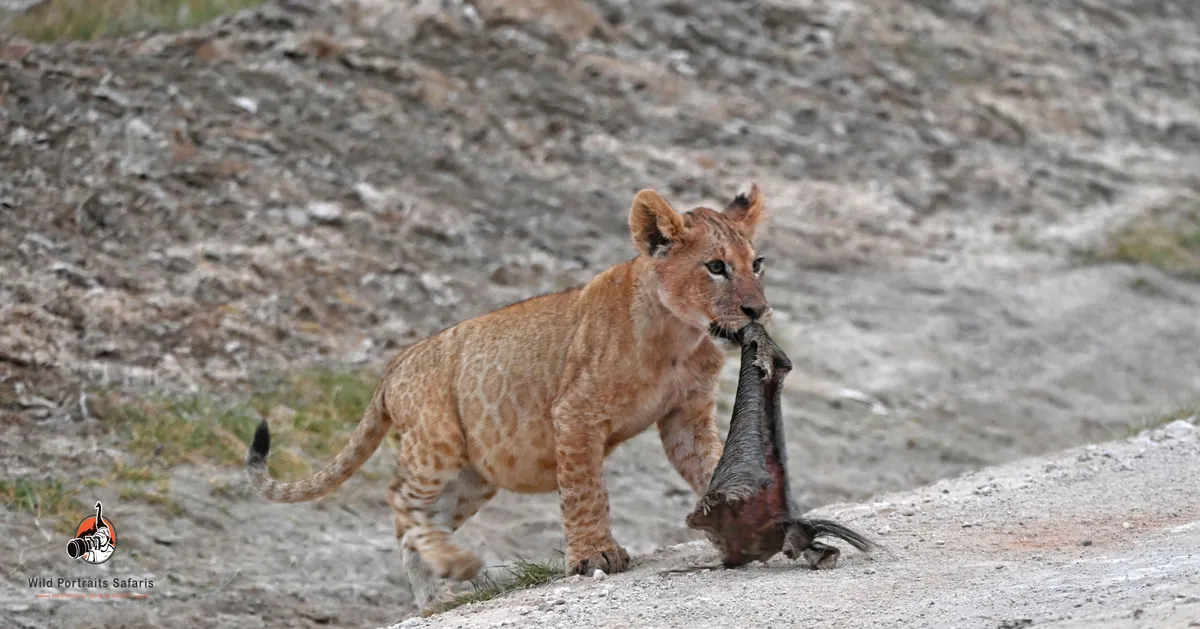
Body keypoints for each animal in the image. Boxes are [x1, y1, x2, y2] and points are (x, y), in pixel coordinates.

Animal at [244, 183, 771, 611]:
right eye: (716, 267)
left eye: (757, 264)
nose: (759, 310)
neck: (680, 335)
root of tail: (395, 365)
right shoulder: (574, 413)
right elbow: (585, 491)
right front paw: (595, 556)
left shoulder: (686, 417)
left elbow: (712, 466)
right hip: (436, 443)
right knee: (400, 502)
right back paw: (453, 571)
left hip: (472, 477)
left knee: (417, 523)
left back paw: (435, 598)